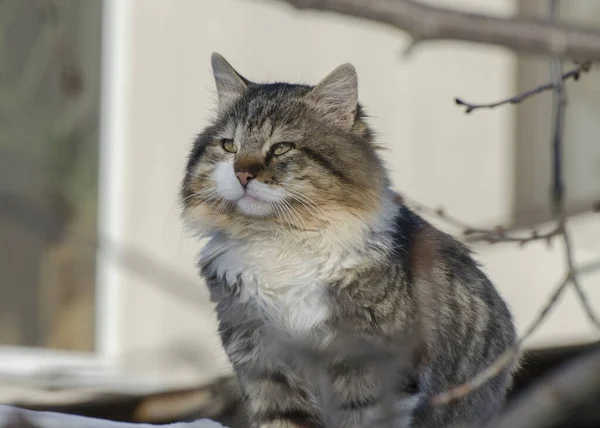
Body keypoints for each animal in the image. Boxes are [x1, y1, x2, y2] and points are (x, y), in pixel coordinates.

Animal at [180, 53, 516, 428]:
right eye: (229, 146)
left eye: (281, 148)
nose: (242, 173)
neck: (280, 242)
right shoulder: (263, 362)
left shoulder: (372, 367)